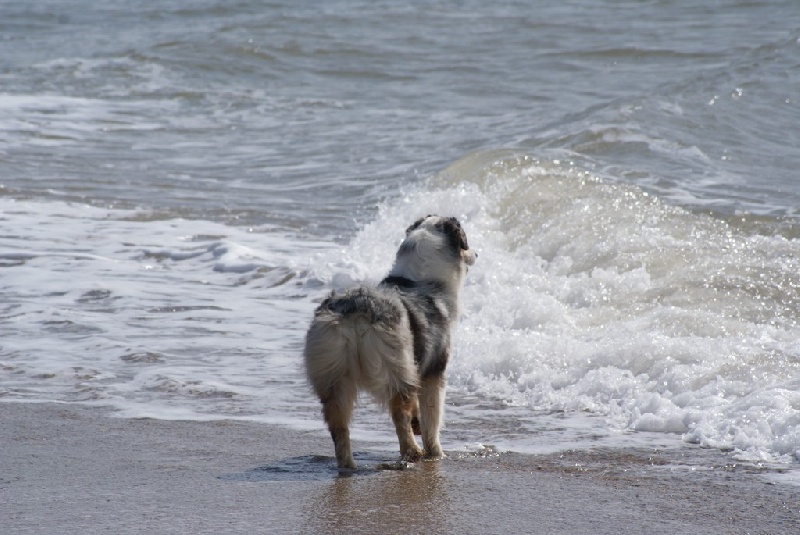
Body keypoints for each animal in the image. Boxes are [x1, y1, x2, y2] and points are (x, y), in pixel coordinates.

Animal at [304, 216, 476, 466]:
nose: (476, 254)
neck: (419, 281)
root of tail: (357, 311)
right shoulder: (434, 370)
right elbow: (432, 419)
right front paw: (437, 453)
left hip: (332, 371)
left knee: (339, 426)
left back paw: (348, 465)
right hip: (394, 365)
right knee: (399, 413)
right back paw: (413, 452)